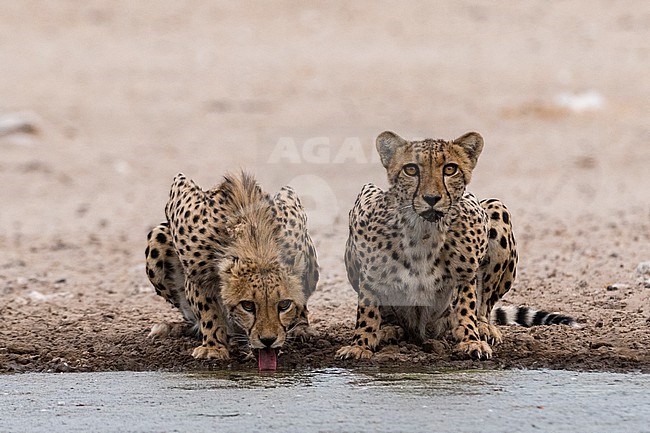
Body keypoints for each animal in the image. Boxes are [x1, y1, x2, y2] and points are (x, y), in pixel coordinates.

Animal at [146, 172, 318, 368]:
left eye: (284, 305)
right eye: (248, 305)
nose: (268, 340)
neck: (255, 241)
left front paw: (298, 327)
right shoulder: (196, 274)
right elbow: (206, 310)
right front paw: (213, 347)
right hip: (157, 238)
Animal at [336, 130, 568, 360]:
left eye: (450, 169)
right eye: (411, 169)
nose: (431, 198)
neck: (424, 231)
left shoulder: (467, 264)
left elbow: (467, 304)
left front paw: (471, 340)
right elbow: (368, 308)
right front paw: (360, 344)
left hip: (497, 208)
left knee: (483, 306)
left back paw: (483, 328)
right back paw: (387, 330)